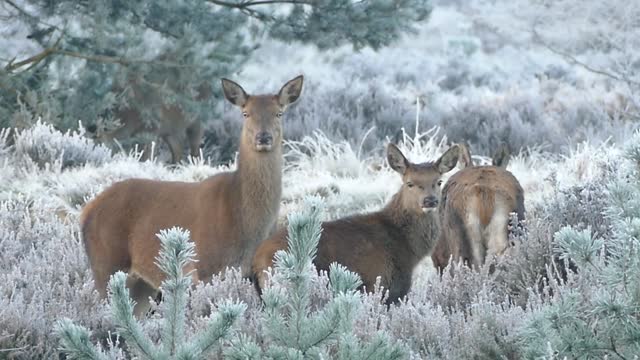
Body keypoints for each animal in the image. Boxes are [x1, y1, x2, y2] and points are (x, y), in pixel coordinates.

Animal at [80, 75, 304, 316]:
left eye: (279, 113)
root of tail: (86, 211)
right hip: (105, 263)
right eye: (246, 113)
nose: (264, 137)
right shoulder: (202, 267)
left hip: (140, 283)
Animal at [251, 143, 460, 304]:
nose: (430, 200)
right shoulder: (380, 283)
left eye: (438, 181)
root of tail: (256, 258)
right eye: (410, 183)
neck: (408, 251)